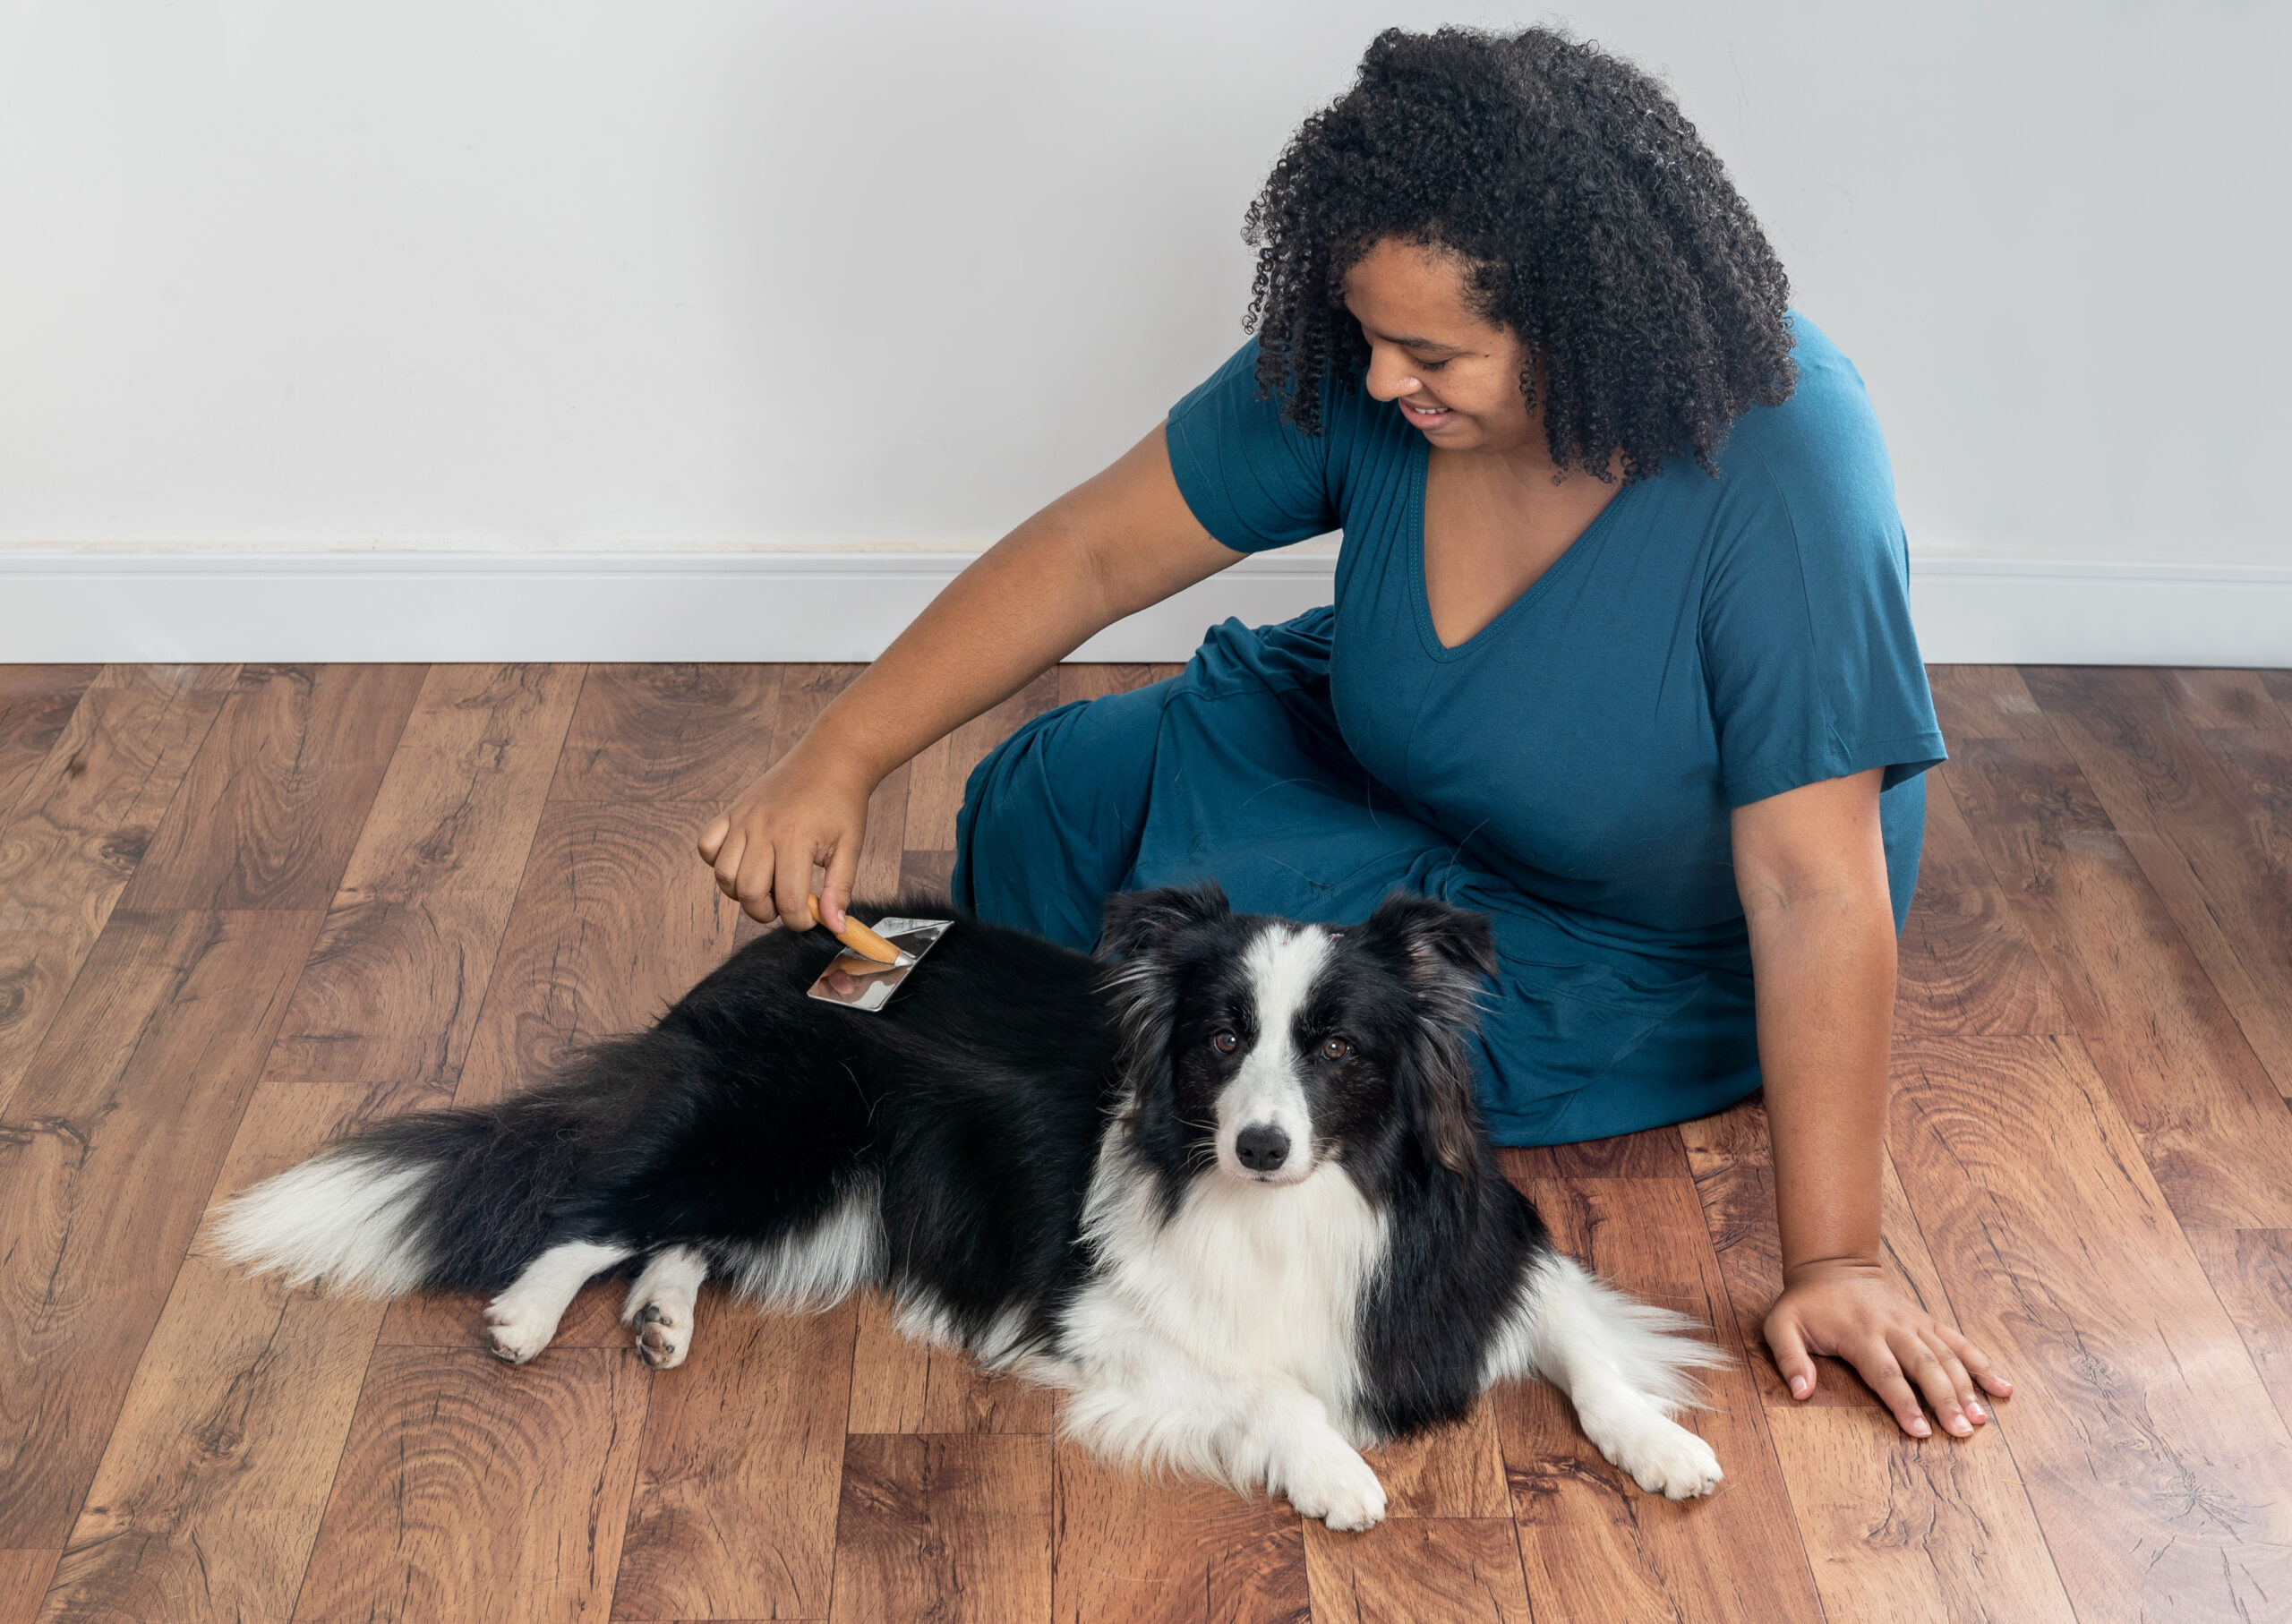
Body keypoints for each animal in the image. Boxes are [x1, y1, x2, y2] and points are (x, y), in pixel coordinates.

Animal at [210, 879, 1723, 1530]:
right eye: (1222, 1040)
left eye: (1339, 1047)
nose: (1260, 1143)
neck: (1301, 1207)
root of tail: (778, 944)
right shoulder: (1110, 1315)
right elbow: (1269, 1385)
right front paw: (1338, 1474)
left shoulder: (1486, 1257)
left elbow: (1589, 1346)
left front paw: (1665, 1449)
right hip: (786, 1128)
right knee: (597, 1200)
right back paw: (530, 1314)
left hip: (833, 1188)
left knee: (680, 1233)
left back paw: (657, 1317)